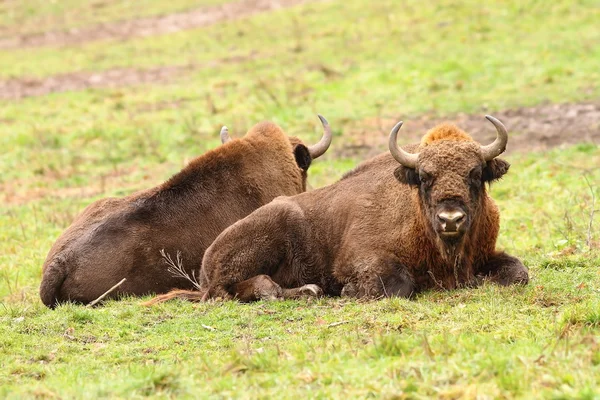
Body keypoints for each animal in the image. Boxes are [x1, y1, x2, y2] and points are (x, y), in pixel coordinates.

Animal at [148, 113, 528, 304]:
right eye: (424, 177)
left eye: (475, 173)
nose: (451, 219)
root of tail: (207, 259)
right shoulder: (360, 259)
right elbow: (399, 283)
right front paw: (348, 292)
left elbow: (519, 273)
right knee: (230, 291)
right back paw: (307, 291)